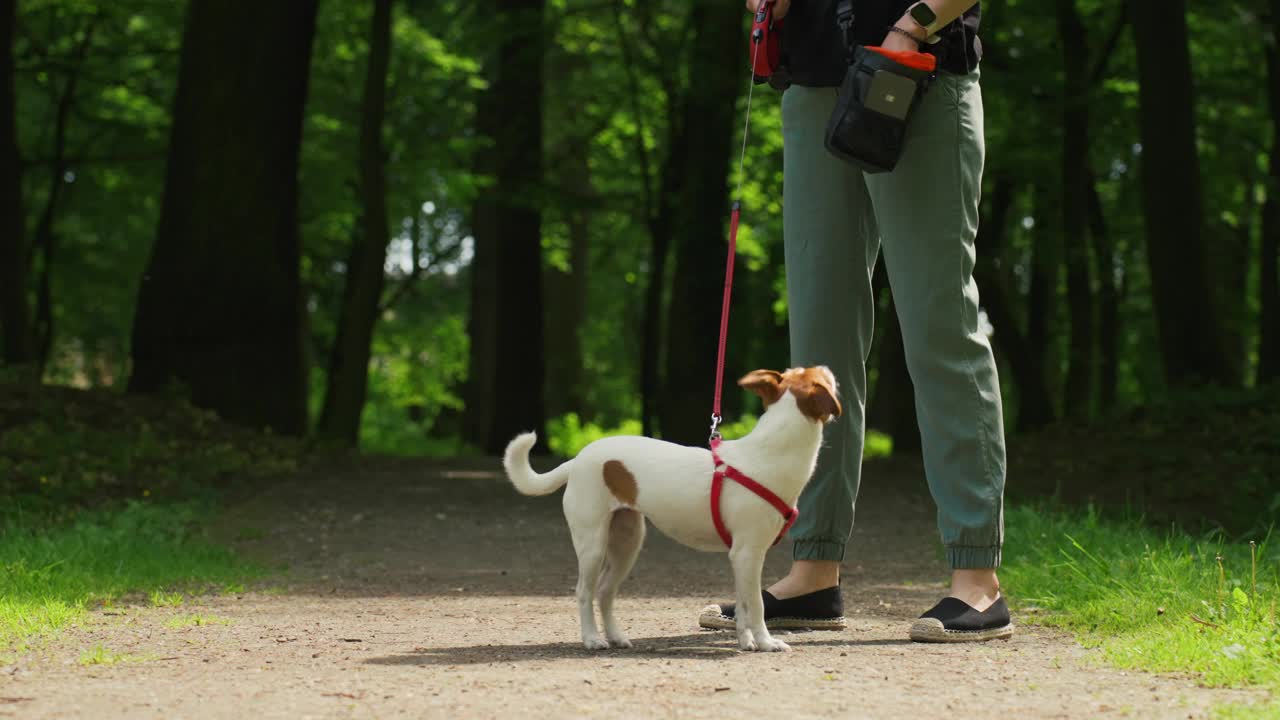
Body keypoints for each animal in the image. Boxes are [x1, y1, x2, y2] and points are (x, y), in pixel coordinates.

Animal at [504, 363, 844, 650]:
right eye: (820, 377)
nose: (828, 366)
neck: (770, 452)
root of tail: (576, 461)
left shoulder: (740, 557)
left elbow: (744, 603)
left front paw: (746, 640)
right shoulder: (749, 553)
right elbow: (756, 605)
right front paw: (765, 642)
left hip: (626, 542)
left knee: (605, 591)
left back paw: (616, 637)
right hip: (593, 544)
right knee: (584, 592)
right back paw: (592, 639)